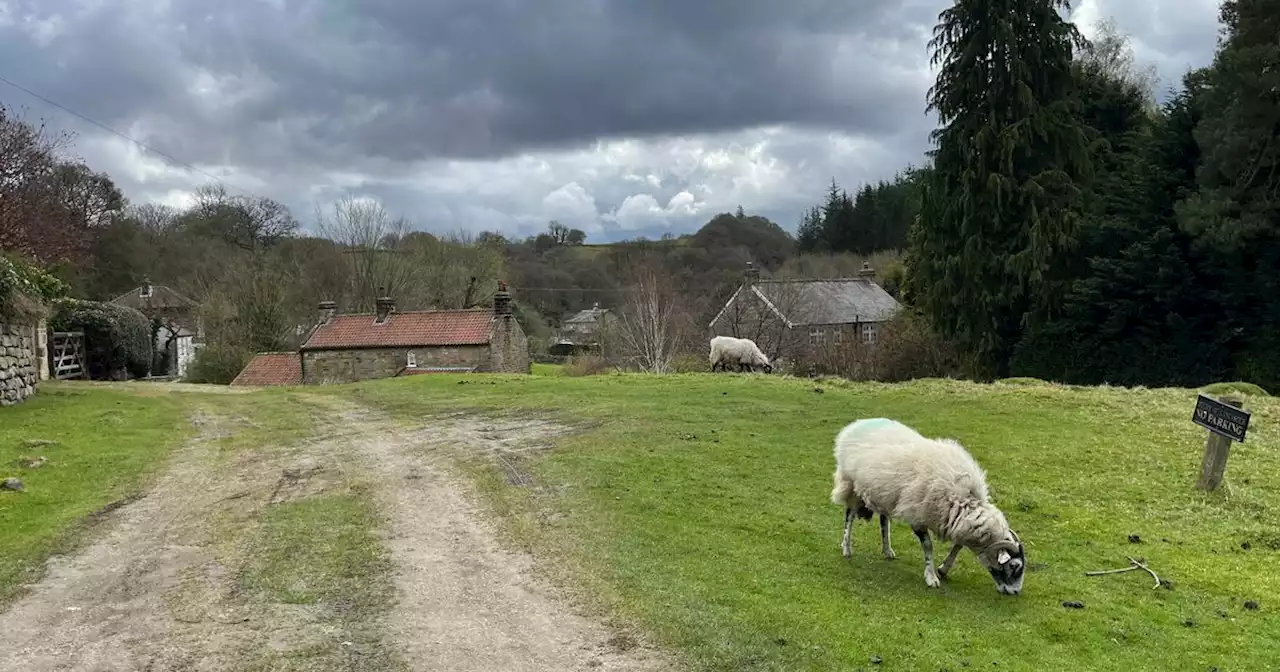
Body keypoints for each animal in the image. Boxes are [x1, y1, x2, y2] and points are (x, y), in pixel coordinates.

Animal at [829, 417, 1029, 593]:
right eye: (1014, 566)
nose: (1015, 592)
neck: (964, 500)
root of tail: (855, 425)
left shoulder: (956, 522)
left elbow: (958, 545)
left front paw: (943, 569)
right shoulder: (919, 516)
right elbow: (928, 546)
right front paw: (931, 577)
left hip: (884, 493)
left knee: (884, 521)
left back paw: (887, 550)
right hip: (852, 484)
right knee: (849, 516)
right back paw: (846, 548)